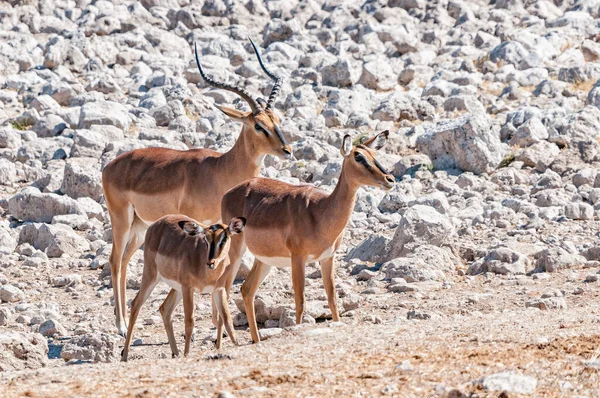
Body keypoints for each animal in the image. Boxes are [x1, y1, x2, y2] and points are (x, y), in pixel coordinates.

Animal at [120, 215, 245, 360]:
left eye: (224, 238)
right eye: (206, 239)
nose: (211, 262)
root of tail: (157, 223)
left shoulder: (219, 290)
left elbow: (227, 320)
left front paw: (237, 346)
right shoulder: (188, 288)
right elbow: (189, 323)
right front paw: (187, 355)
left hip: (177, 289)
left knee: (164, 308)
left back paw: (175, 353)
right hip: (152, 277)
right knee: (135, 304)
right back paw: (124, 356)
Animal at [220, 131, 394, 342]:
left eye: (374, 154)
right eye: (358, 156)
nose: (390, 179)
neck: (320, 211)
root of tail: (228, 193)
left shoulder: (328, 258)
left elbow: (332, 297)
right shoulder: (298, 259)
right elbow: (300, 301)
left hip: (264, 260)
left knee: (246, 290)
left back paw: (256, 340)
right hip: (236, 252)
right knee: (224, 291)